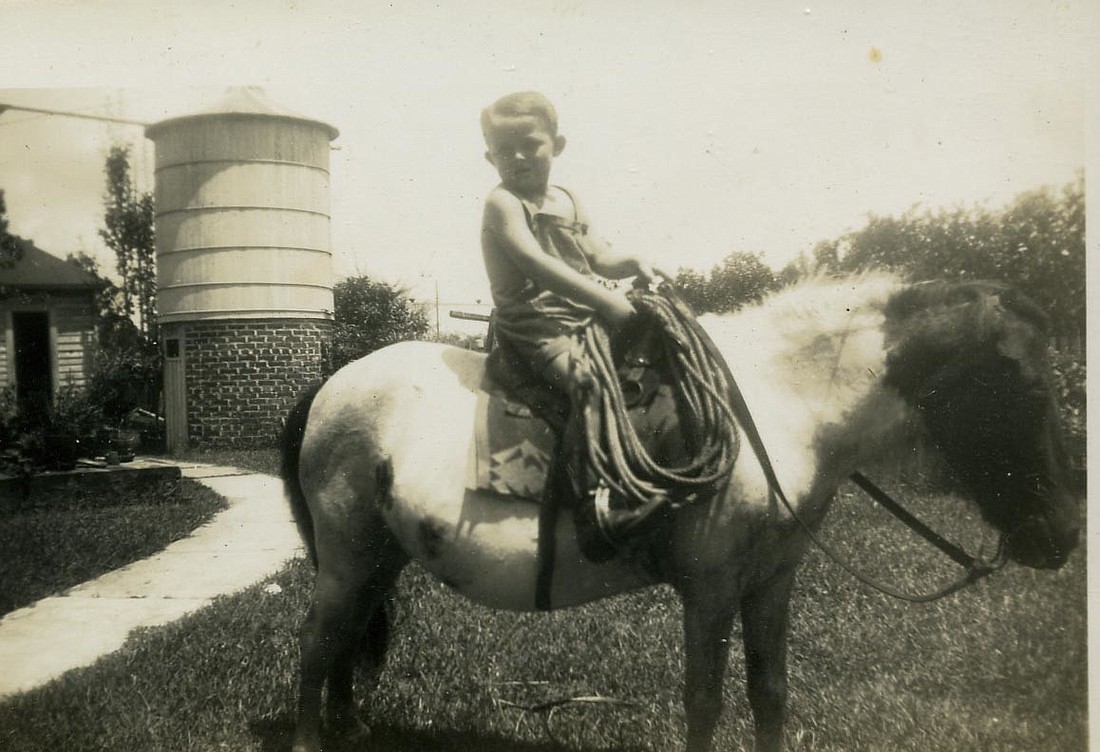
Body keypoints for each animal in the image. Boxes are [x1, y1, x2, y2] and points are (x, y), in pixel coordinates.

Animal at [279, 274, 1078, 752]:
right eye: (1030, 393)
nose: (1064, 537)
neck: (777, 414)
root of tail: (329, 386)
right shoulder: (712, 590)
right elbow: (705, 701)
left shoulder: (771, 584)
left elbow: (769, 694)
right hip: (347, 556)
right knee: (318, 642)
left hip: (379, 557)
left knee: (348, 637)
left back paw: (351, 729)